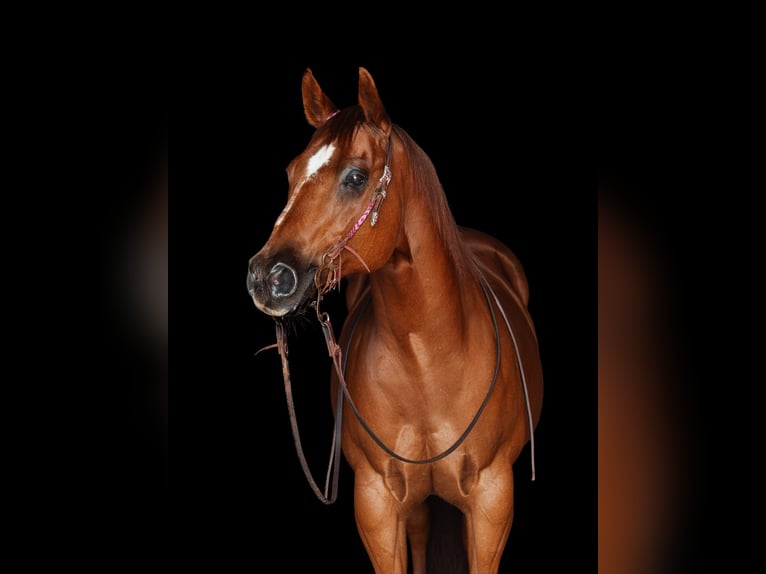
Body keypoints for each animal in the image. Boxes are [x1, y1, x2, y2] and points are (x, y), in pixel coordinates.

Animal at [247, 67, 543, 574]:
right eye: (290, 173)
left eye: (356, 177)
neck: (426, 359)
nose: (267, 277)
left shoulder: (492, 499)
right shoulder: (377, 503)